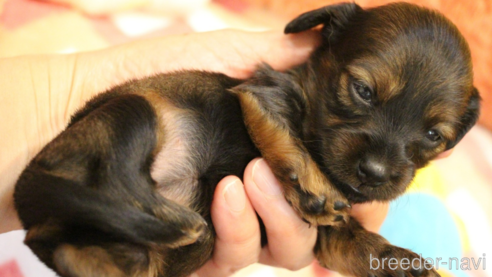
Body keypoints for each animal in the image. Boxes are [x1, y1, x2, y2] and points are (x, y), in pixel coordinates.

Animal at [13, 2, 478, 276]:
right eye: (362, 90)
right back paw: (175, 219)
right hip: (134, 113)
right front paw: (314, 185)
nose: (376, 174)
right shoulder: (258, 93)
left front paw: (406, 264)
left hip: (108, 248)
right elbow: (280, 129)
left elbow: (358, 245)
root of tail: (29, 196)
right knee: (117, 180)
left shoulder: (327, 237)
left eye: (433, 135)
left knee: (76, 252)